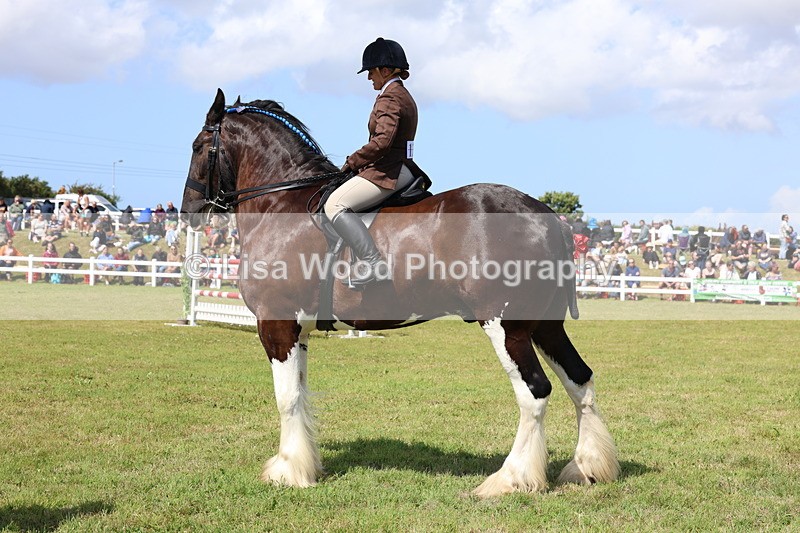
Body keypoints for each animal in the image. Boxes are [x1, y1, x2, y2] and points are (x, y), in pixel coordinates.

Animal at [180, 89, 619, 497]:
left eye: (198, 146)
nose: (189, 212)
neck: (280, 204)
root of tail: (548, 216)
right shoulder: (299, 330)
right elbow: (301, 394)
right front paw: (307, 465)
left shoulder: (277, 324)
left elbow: (286, 398)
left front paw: (288, 472)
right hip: (545, 324)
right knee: (579, 380)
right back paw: (588, 468)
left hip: (506, 326)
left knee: (534, 392)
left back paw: (509, 479)